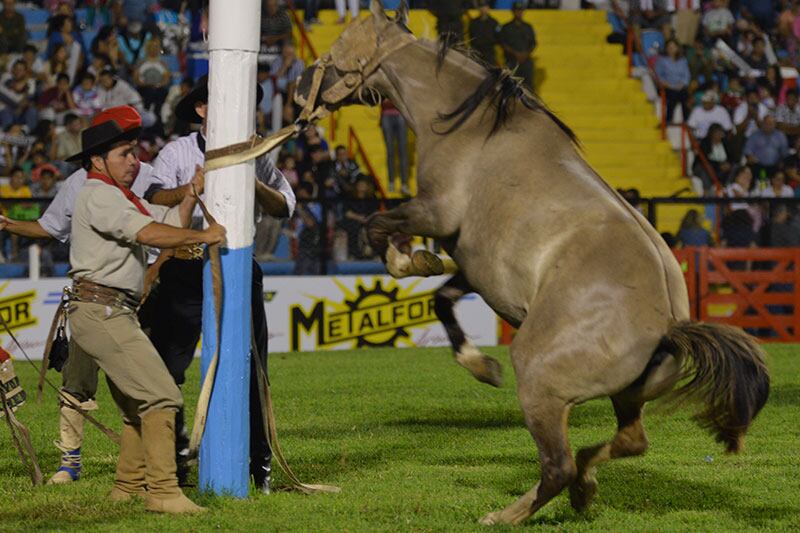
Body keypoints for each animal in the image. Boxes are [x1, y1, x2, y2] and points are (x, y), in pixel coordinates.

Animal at [294, 1, 768, 524]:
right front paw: (480, 364)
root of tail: (669, 325)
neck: (472, 129)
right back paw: (584, 486)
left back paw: (509, 513)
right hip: (626, 394)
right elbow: (443, 299)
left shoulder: (435, 213)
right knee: (628, 442)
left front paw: (413, 260)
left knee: (558, 464)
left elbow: (378, 227)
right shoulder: (477, 268)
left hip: (541, 381)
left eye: (337, 46)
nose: (298, 88)